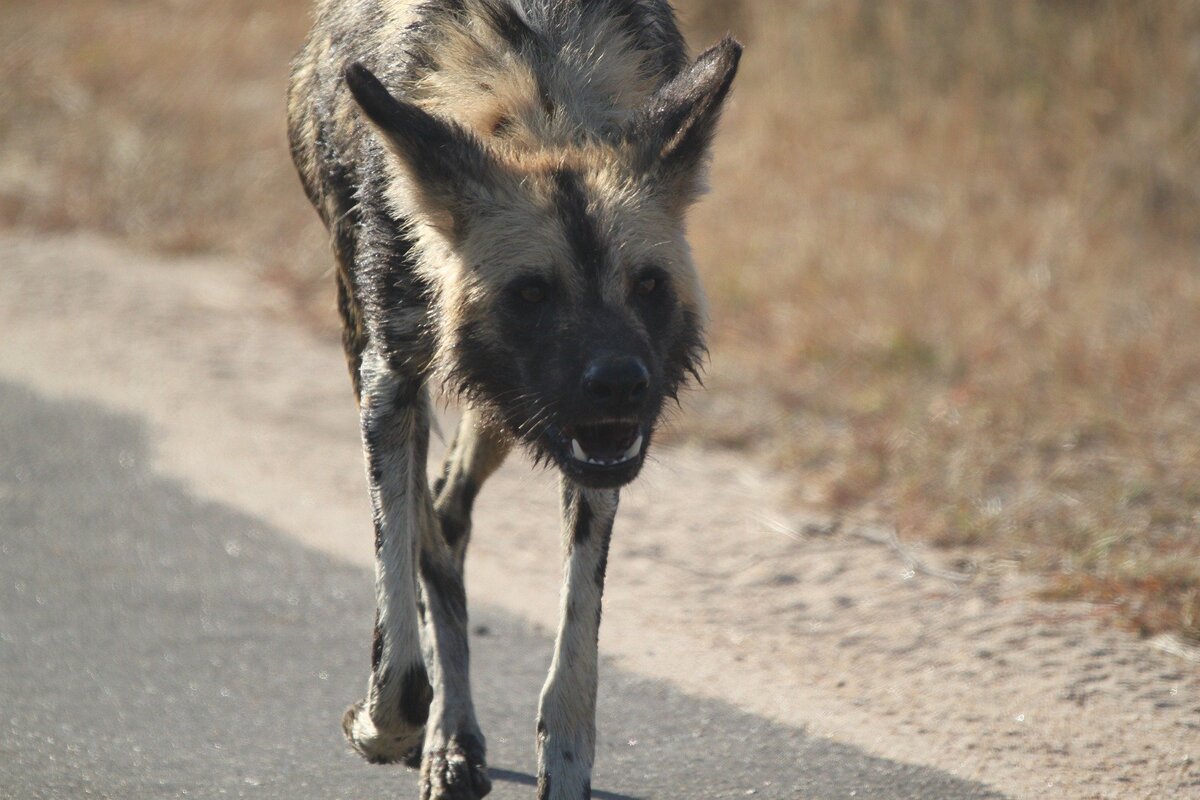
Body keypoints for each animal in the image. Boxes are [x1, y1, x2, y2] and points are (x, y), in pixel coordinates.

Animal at [290, 1, 739, 800]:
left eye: (648, 285)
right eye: (531, 293)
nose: (621, 381)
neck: (541, 89)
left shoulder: (597, 447)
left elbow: (575, 657)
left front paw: (564, 767)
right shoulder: (388, 384)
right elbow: (400, 663)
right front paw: (385, 730)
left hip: (508, 410)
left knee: (448, 510)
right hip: (389, 362)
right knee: (433, 535)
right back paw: (446, 737)